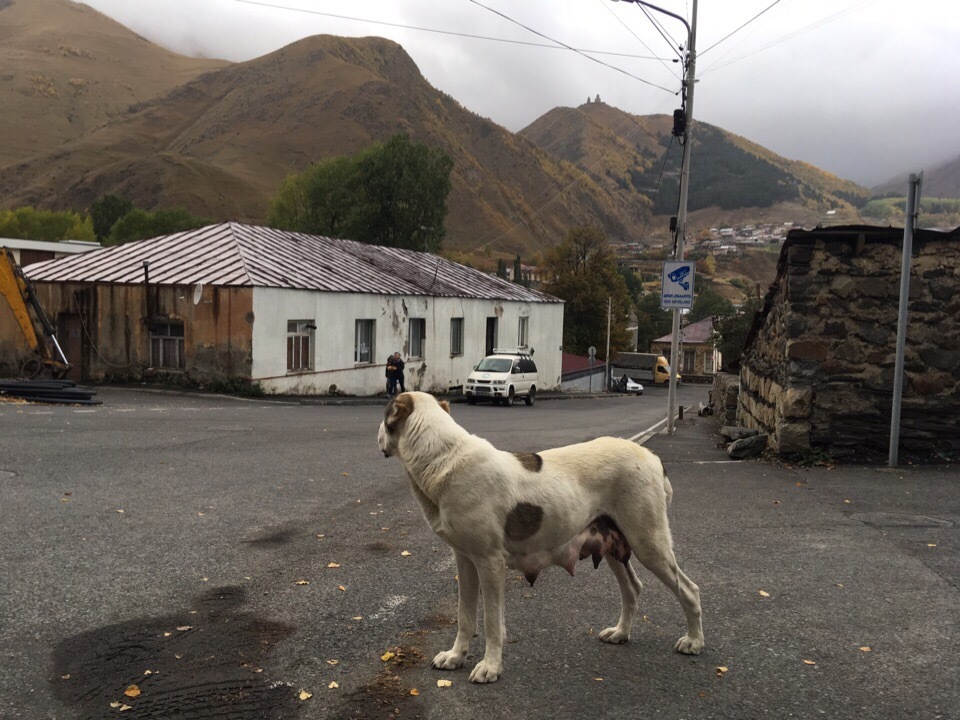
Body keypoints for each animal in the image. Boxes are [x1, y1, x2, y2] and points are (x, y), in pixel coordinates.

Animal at [376, 390, 704, 684]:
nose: (377, 436)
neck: (443, 457)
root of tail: (652, 457)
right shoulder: (465, 561)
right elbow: (465, 615)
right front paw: (456, 657)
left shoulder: (490, 563)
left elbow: (492, 621)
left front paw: (490, 667)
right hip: (614, 547)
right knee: (632, 589)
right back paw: (621, 633)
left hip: (649, 543)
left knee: (689, 589)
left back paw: (694, 641)